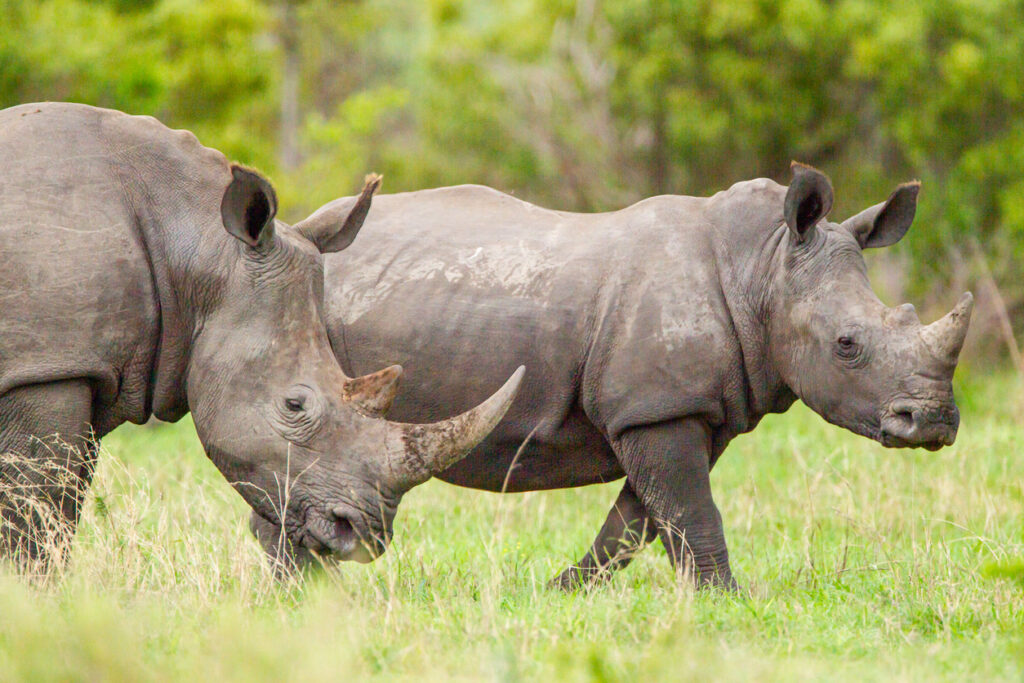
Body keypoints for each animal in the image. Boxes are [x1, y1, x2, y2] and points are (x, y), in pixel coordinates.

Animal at [0, 101, 524, 569]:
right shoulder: (49, 368)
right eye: (294, 405)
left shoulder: (87, 365)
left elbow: (62, 506)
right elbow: (35, 507)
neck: (196, 249)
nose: (362, 535)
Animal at [299, 162, 970, 589]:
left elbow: (642, 517)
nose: (933, 421)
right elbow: (689, 510)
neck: (765, 266)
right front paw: (725, 600)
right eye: (847, 346)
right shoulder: (657, 409)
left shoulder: (682, 408)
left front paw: (563, 591)